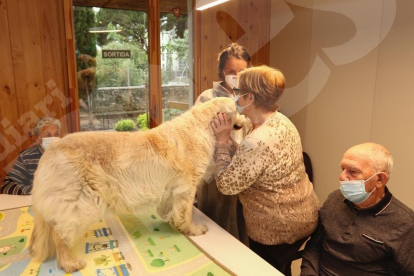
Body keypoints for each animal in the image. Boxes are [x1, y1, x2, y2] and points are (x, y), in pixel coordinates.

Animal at [29, 96, 244, 272]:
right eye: (237, 109)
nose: (244, 122)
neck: (203, 124)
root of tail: (49, 152)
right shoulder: (187, 188)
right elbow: (187, 213)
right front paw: (193, 229)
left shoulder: (173, 189)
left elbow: (171, 209)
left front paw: (171, 221)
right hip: (79, 202)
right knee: (59, 234)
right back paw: (69, 262)